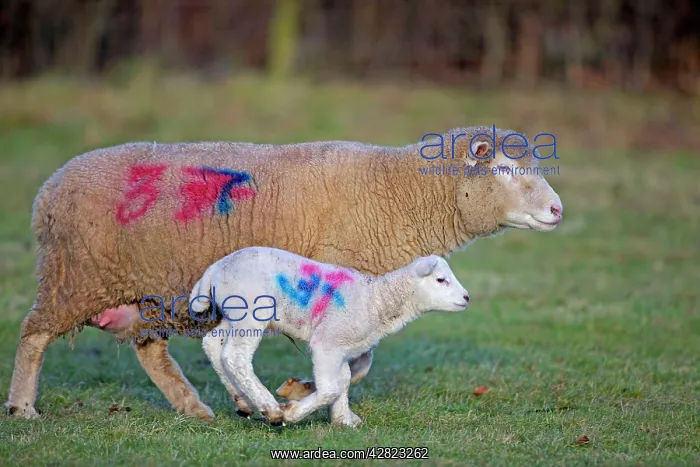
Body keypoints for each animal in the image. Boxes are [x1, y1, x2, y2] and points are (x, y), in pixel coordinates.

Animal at [192, 247, 470, 426]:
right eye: (441, 280)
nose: (467, 297)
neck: (377, 301)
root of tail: (213, 270)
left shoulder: (342, 348)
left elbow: (344, 379)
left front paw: (342, 420)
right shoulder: (327, 342)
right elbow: (331, 387)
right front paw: (292, 413)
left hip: (234, 314)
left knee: (213, 344)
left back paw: (243, 401)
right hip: (250, 310)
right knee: (235, 356)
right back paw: (269, 408)